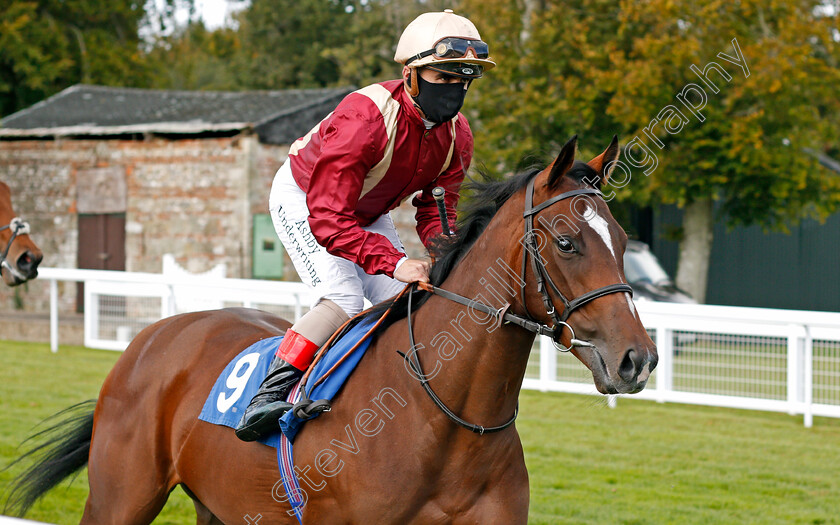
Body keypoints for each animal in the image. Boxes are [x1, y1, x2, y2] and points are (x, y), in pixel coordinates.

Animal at [4, 137, 656, 520]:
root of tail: (149, 339)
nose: (638, 359)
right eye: (567, 242)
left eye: (625, 241)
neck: (445, 420)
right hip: (121, 498)